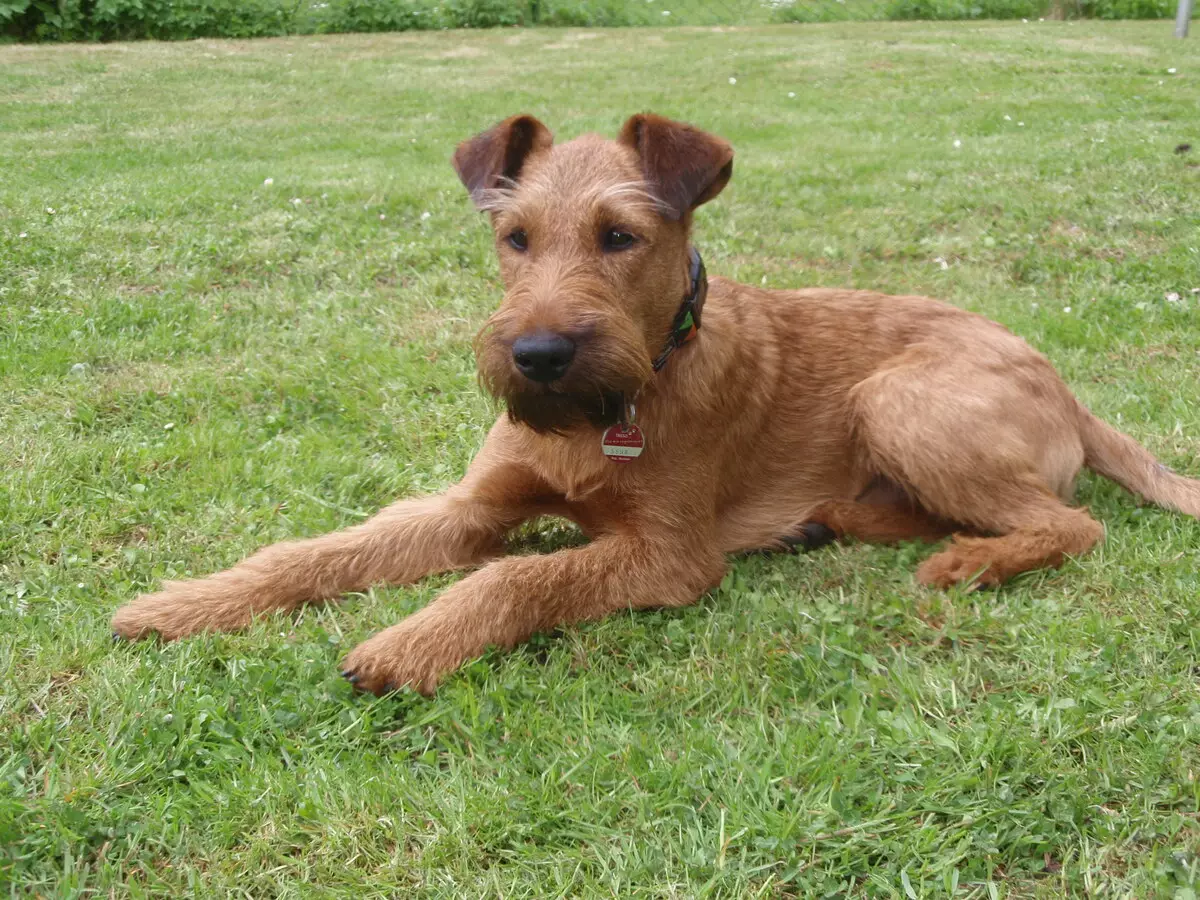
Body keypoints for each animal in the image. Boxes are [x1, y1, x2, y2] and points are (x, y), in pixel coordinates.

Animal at [112, 112, 1200, 696]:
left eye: (620, 236)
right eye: (513, 236)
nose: (538, 355)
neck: (608, 411)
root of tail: (1065, 386)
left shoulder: (670, 555)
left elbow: (516, 579)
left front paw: (408, 642)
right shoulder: (473, 508)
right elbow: (320, 551)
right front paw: (183, 602)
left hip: (902, 398)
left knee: (1068, 523)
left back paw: (970, 561)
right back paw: (834, 521)